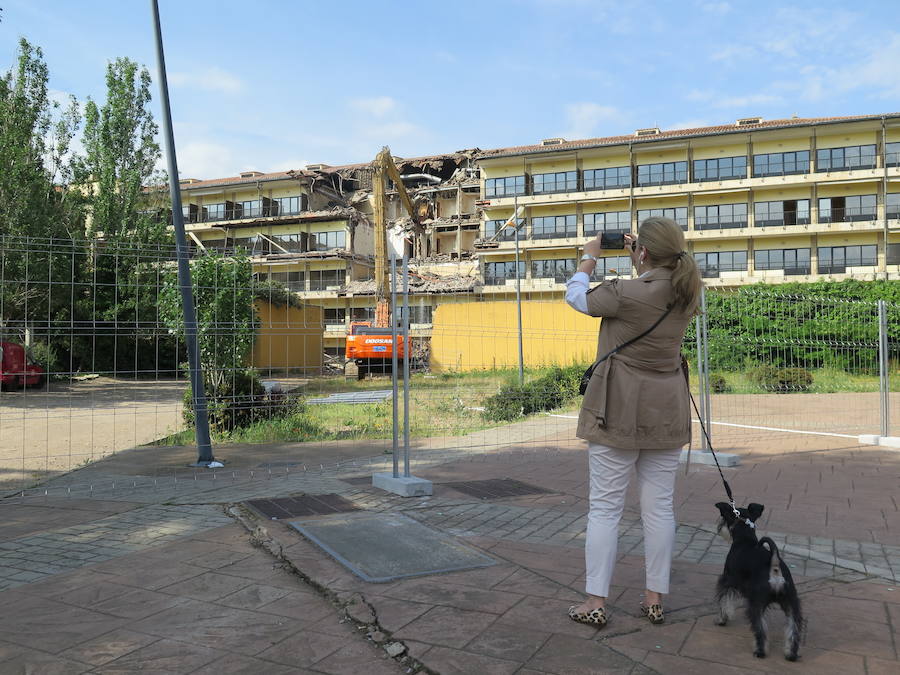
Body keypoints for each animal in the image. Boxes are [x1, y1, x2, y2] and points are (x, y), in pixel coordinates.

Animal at [716, 502, 800, 660]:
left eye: (724, 518)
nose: (719, 527)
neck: (745, 540)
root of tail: (774, 567)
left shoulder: (728, 581)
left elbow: (725, 602)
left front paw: (722, 620)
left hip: (756, 604)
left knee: (760, 629)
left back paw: (760, 651)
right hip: (791, 603)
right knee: (794, 628)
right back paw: (791, 653)